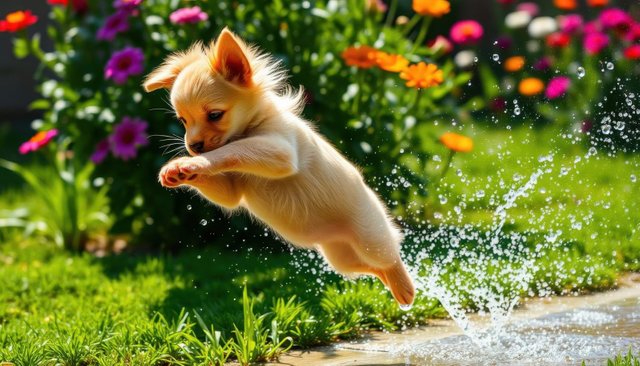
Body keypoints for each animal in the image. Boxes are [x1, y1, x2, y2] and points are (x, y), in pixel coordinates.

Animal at [144, 27, 416, 306]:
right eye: (183, 120)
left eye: (215, 115)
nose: (193, 146)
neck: (251, 126)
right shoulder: (233, 189)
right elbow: (226, 184)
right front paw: (177, 171)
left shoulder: (281, 151)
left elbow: (231, 150)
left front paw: (192, 162)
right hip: (341, 257)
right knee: (372, 269)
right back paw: (395, 287)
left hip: (370, 237)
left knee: (389, 255)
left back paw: (404, 286)